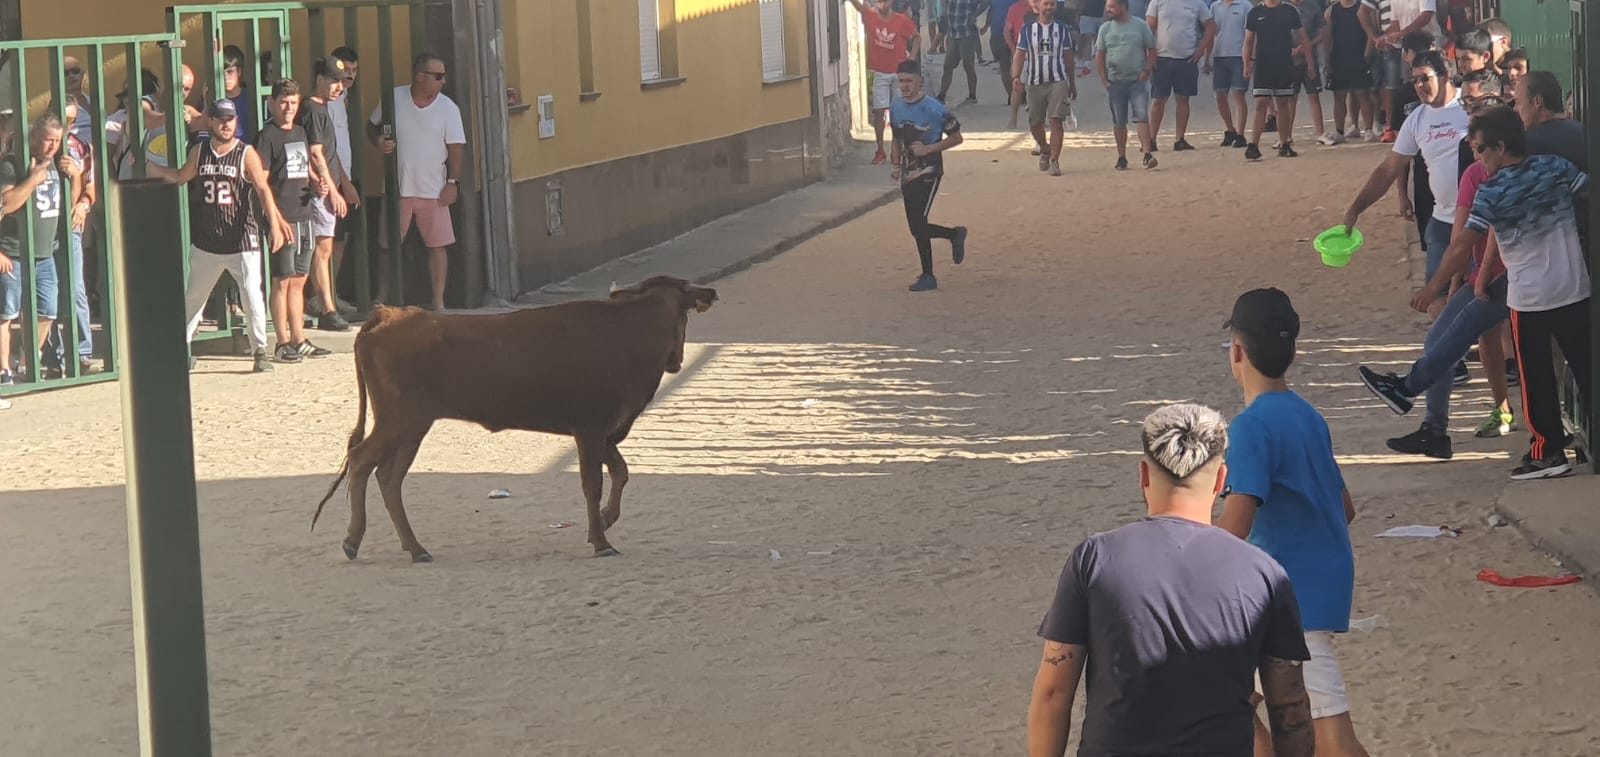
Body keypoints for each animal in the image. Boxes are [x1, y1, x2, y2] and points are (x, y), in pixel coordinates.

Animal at [308, 273, 716, 556]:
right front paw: (601, 541)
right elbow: (593, 483)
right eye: (684, 316)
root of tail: (387, 314)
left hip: (412, 427)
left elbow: (621, 472)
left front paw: (604, 520)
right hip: (398, 420)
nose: (677, 361)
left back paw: (415, 548)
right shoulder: (590, 428)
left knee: (389, 477)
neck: (630, 333)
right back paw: (354, 541)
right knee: (363, 461)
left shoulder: (605, 431)